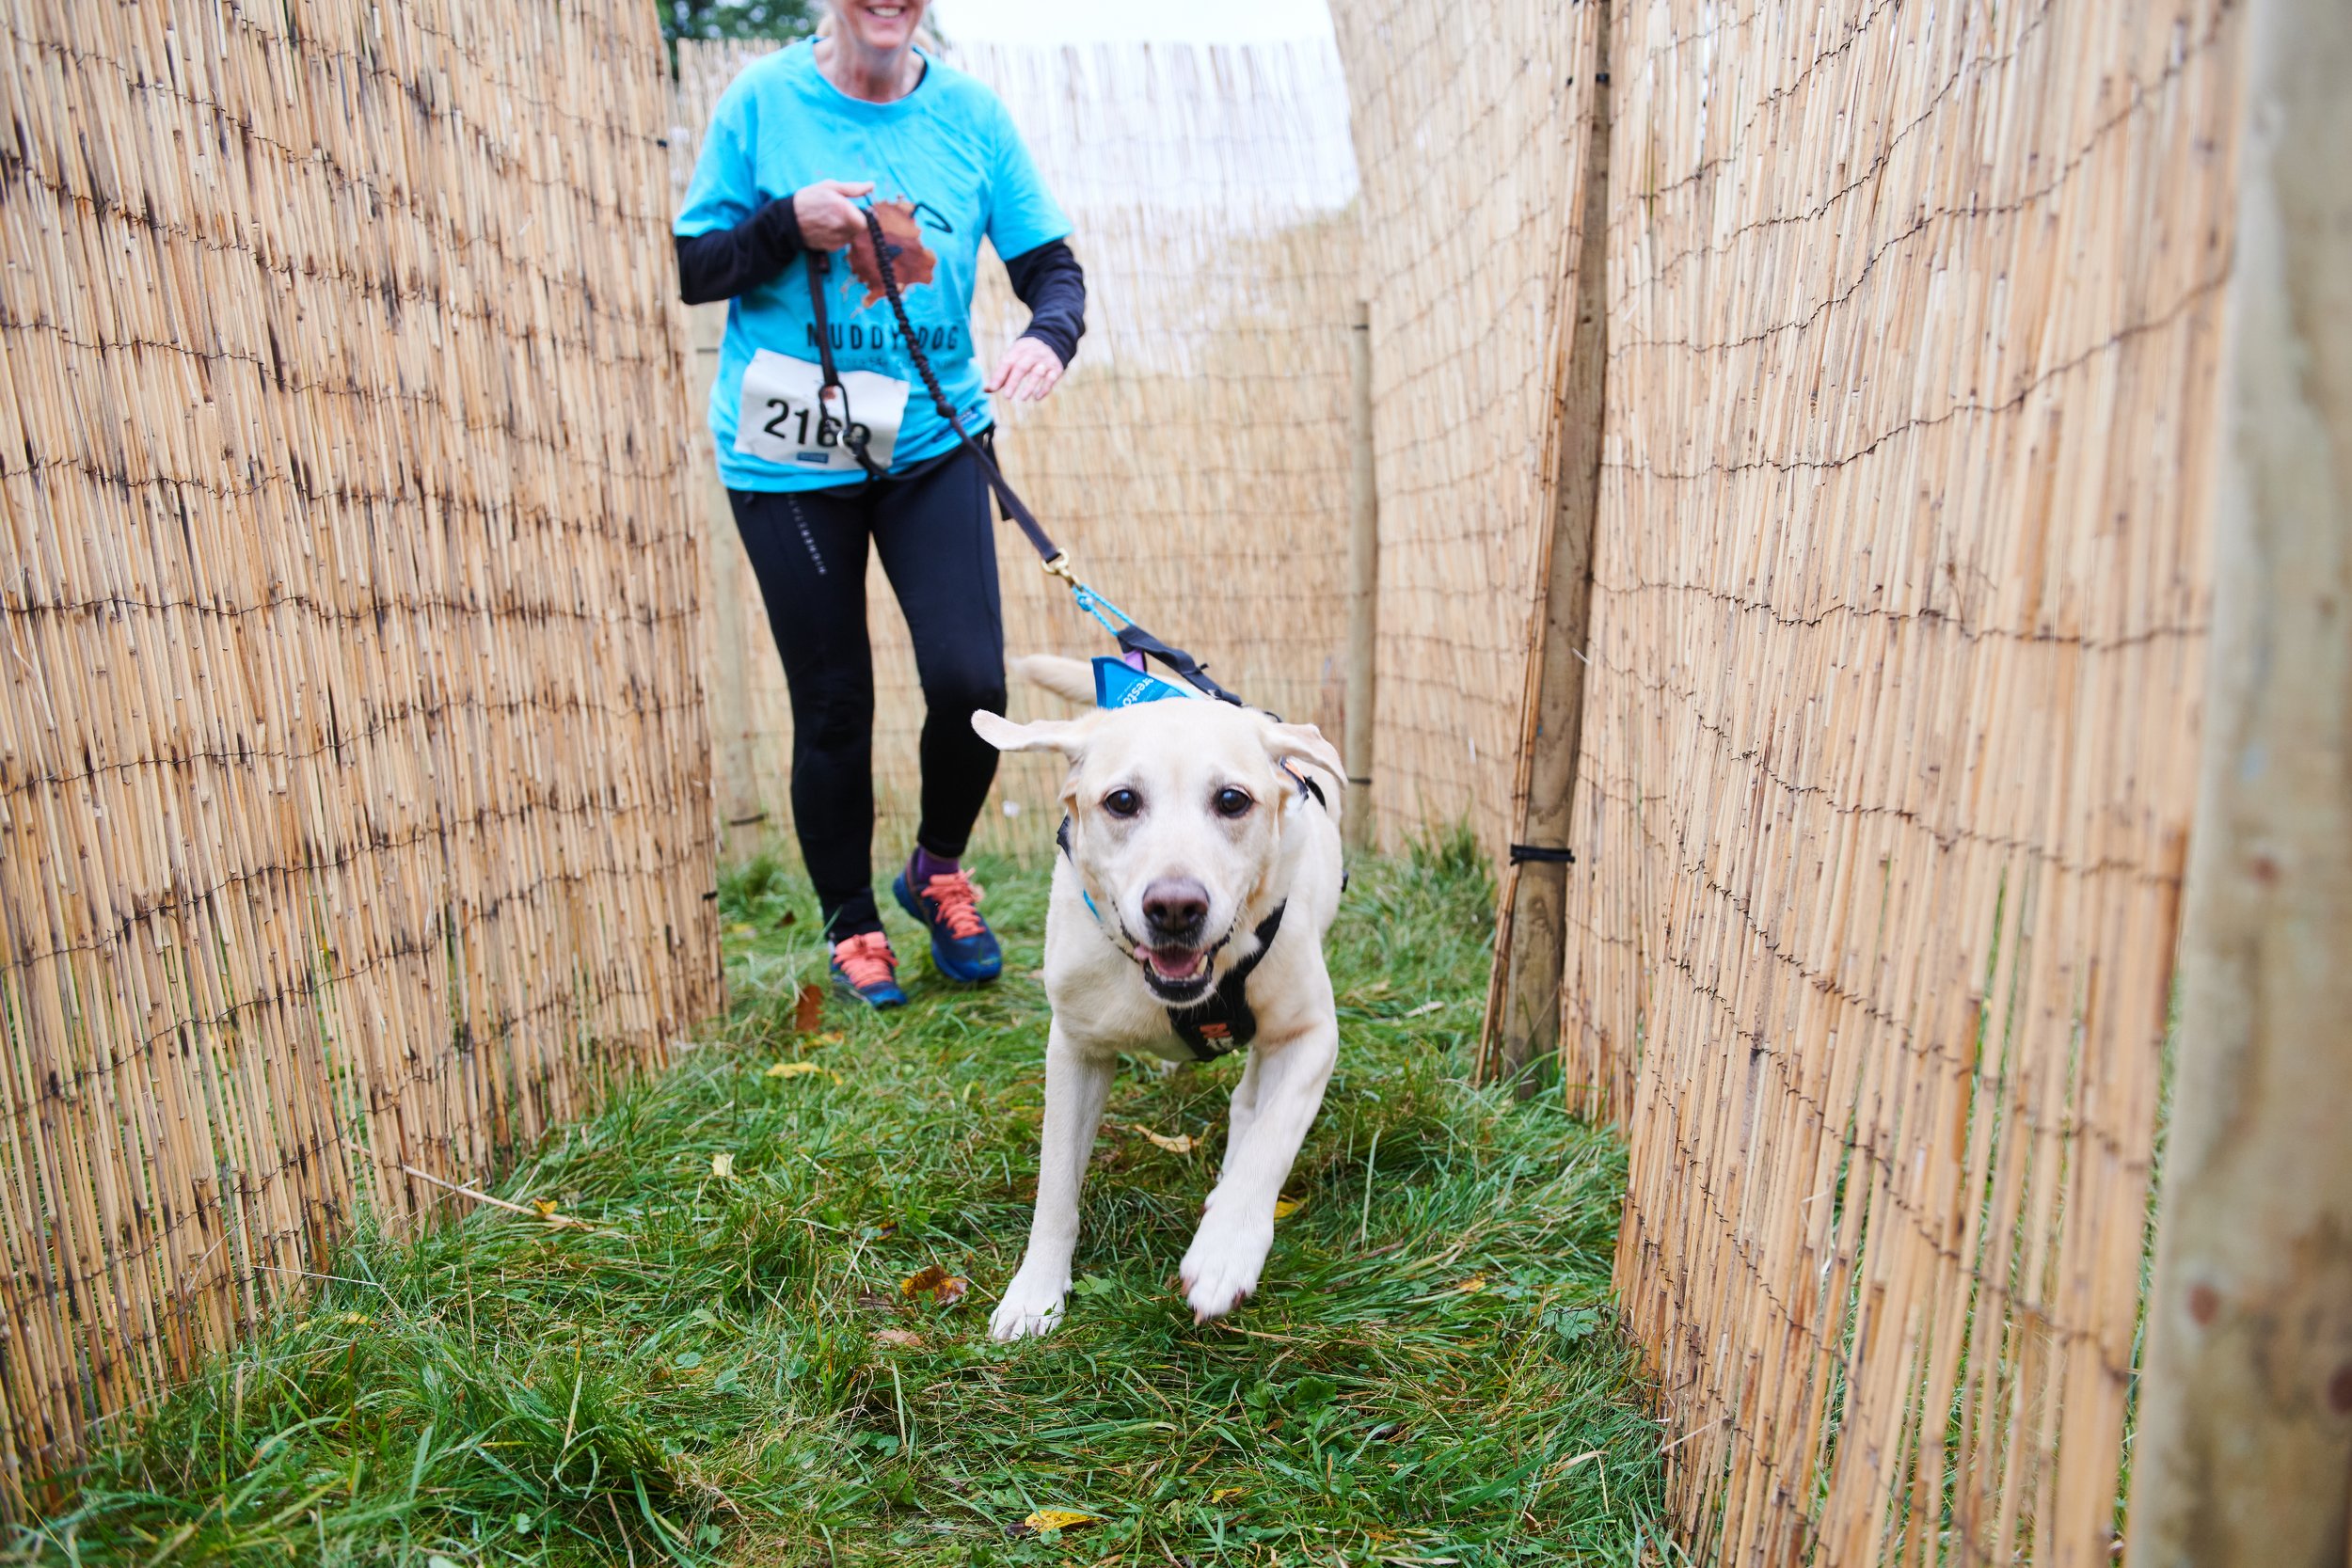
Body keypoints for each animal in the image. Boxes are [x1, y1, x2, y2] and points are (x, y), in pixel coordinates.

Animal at [969, 657, 1345, 1344]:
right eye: (1122, 800)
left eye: (1232, 800)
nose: (1174, 907)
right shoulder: (1075, 1049)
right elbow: (1055, 1184)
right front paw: (1035, 1292)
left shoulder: (1311, 1035)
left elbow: (1273, 1138)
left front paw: (1226, 1249)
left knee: (1253, 1101)